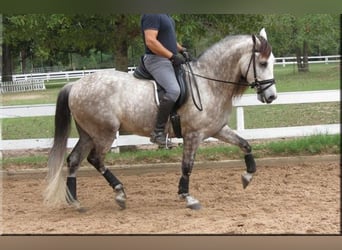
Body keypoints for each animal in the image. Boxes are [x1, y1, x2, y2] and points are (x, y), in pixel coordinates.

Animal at [44, 28, 276, 210]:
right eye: (263, 63)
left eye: (273, 62)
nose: (271, 96)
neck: (209, 83)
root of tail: (75, 85)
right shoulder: (193, 135)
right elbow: (187, 165)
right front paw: (187, 197)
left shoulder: (217, 129)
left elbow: (245, 144)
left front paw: (247, 176)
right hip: (104, 133)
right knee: (95, 160)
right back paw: (119, 193)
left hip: (88, 134)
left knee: (74, 160)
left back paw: (75, 201)